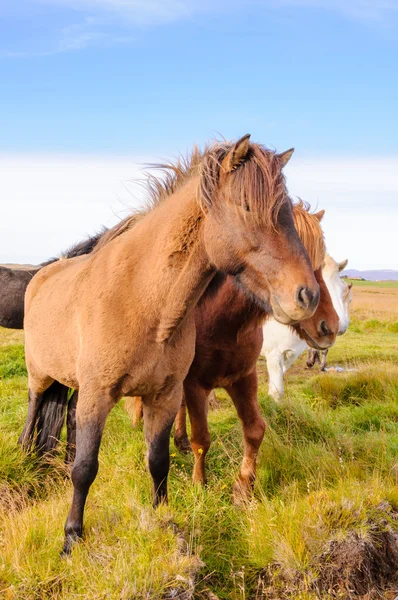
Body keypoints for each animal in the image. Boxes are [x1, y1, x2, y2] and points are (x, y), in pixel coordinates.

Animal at [21, 136, 320, 552]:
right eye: (246, 206)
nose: (307, 295)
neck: (143, 301)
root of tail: (42, 274)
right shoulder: (99, 394)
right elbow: (86, 469)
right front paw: (71, 538)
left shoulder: (164, 396)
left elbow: (158, 461)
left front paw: (163, 519)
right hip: (39, 376)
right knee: (34, 412)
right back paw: (25, 456)